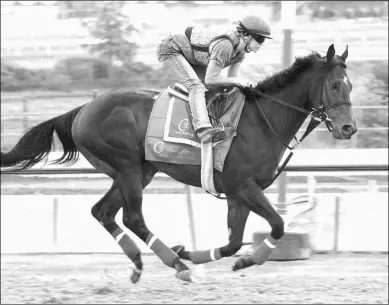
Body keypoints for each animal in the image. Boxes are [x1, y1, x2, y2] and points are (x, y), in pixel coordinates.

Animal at [1, 43, 356, 282]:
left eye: (350, 85)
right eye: (334, 84)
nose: (348, 129)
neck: (262, 119)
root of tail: (83, 108)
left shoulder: (237, 192)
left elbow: (234, 242)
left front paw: (211, 255)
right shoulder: (244, 185)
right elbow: (279, 225)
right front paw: (226, 259)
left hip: (136, 171)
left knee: (103, 212)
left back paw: (145, 263)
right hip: (128, 168)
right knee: (132, 218)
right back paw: (178, 266)